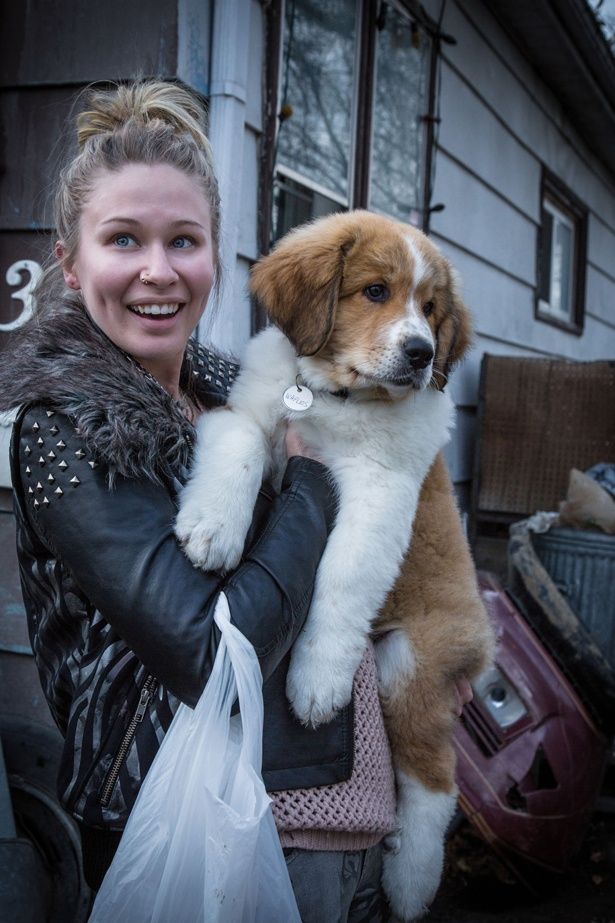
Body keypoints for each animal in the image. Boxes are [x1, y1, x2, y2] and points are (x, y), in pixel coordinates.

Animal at [176, 213, 494, 920]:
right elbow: (239, 447)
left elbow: (340, 581)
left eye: (430, 309)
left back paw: (411, 882)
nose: (422, 354)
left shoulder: (379, 498)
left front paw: (316, 682)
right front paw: (211, 528)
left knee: (436, 782)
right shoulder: (249, 415)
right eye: (376, 291)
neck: (338, 396)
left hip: (413, 662)